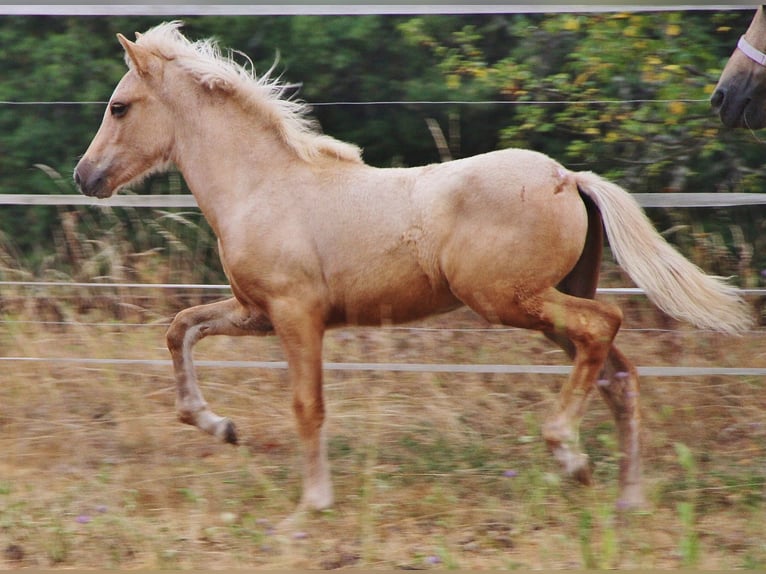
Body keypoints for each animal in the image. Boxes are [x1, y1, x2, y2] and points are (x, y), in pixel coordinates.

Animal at [74, 22, 751, 515]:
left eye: (120, 107)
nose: (86, 177)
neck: (264, 186)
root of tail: (568, 177)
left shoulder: (297, 315)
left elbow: (307, 405)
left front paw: (312, 505)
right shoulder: (255, 312)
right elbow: (180, 329)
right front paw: (219, 426)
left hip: (511, 301)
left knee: (603, 326)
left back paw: (569, 455)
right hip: (543, 306)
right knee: (619, 372)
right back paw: (626, 497)